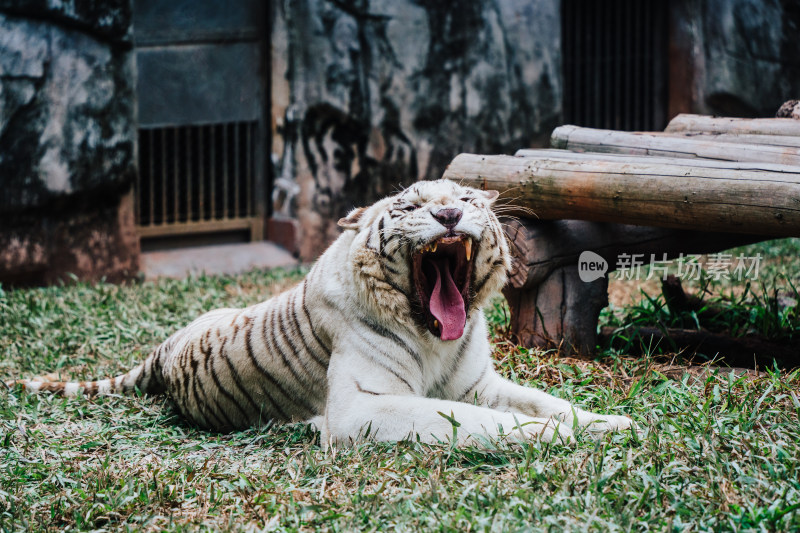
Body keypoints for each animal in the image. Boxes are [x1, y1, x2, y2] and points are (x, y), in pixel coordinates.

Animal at [7, 180, 632, 444]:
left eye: (467, 199)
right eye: (412, 205)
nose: (450, 215)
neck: (435, 335)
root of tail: (164, 351)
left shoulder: (479, 384)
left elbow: (549, 401)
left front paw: (612, 423)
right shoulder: (366, 405)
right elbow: (475, 421)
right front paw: (549, 437)